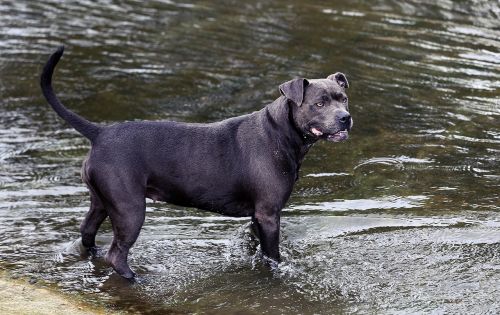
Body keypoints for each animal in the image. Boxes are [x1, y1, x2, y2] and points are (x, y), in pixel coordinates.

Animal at [41, 46, 354, 278]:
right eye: (319, 103)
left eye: (343, 99)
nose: (345, 117)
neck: (281, 132)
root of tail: (100, 132)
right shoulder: (268, 214)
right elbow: (272, 257)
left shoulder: (258, 216)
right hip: (130, 209)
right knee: (117, 254)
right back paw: (136, 278)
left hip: (102, 201)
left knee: (87, 232)